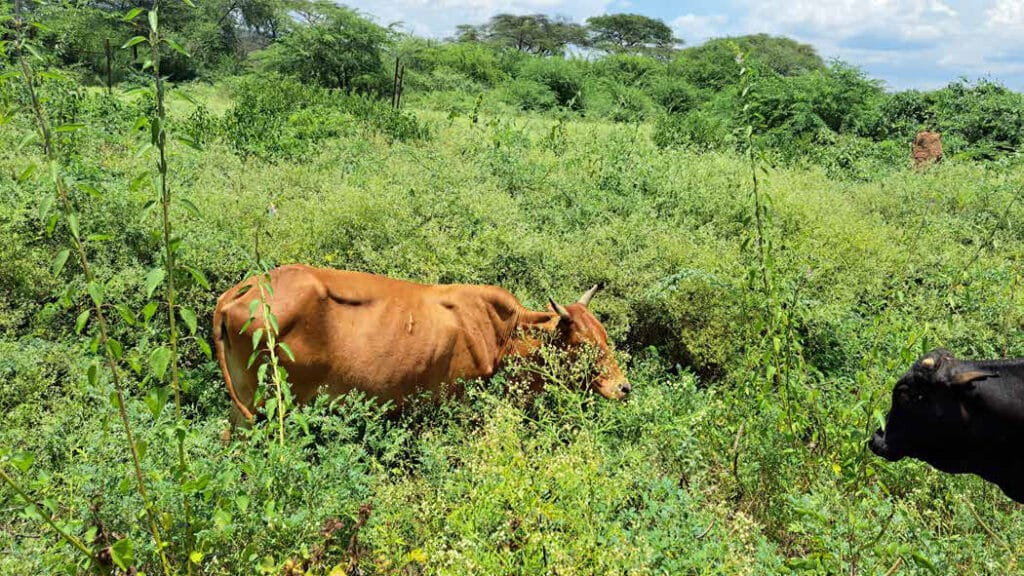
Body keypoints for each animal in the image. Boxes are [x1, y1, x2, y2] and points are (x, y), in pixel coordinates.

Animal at [213, 264, 630, 428]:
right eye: (584, 343)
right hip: (260, 404)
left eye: (606, 337)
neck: (501, 332)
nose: (624, 387)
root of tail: (244, 289)